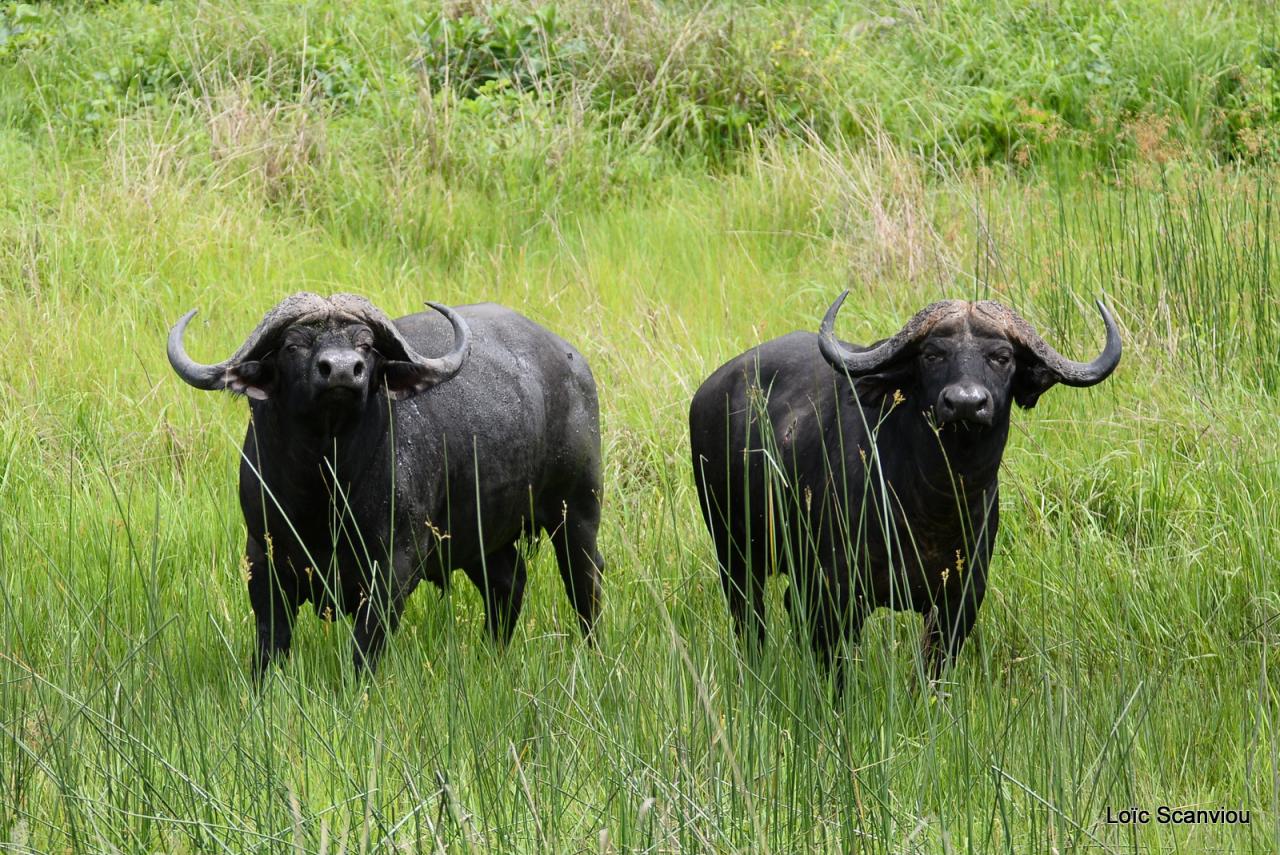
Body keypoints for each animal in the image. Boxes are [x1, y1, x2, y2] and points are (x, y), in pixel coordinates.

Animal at [168, 294, 604, 675]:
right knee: (508, 581)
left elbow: (364, 651)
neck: (323, 490)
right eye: (294, 345)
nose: (343, 370)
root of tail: (573, 363)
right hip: (481, 536)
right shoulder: (263, 560)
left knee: (585, 582)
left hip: (577, 512)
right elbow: (270, 645)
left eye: (365, 344)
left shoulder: (391, 570)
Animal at [691, 294, 1121, 680]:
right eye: (932, 354)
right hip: (734, 555)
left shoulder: (960, 602)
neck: (933, 504)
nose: (966, 403)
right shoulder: (835, 595)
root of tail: (709, 393)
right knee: (750, 621)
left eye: (1002, 357)